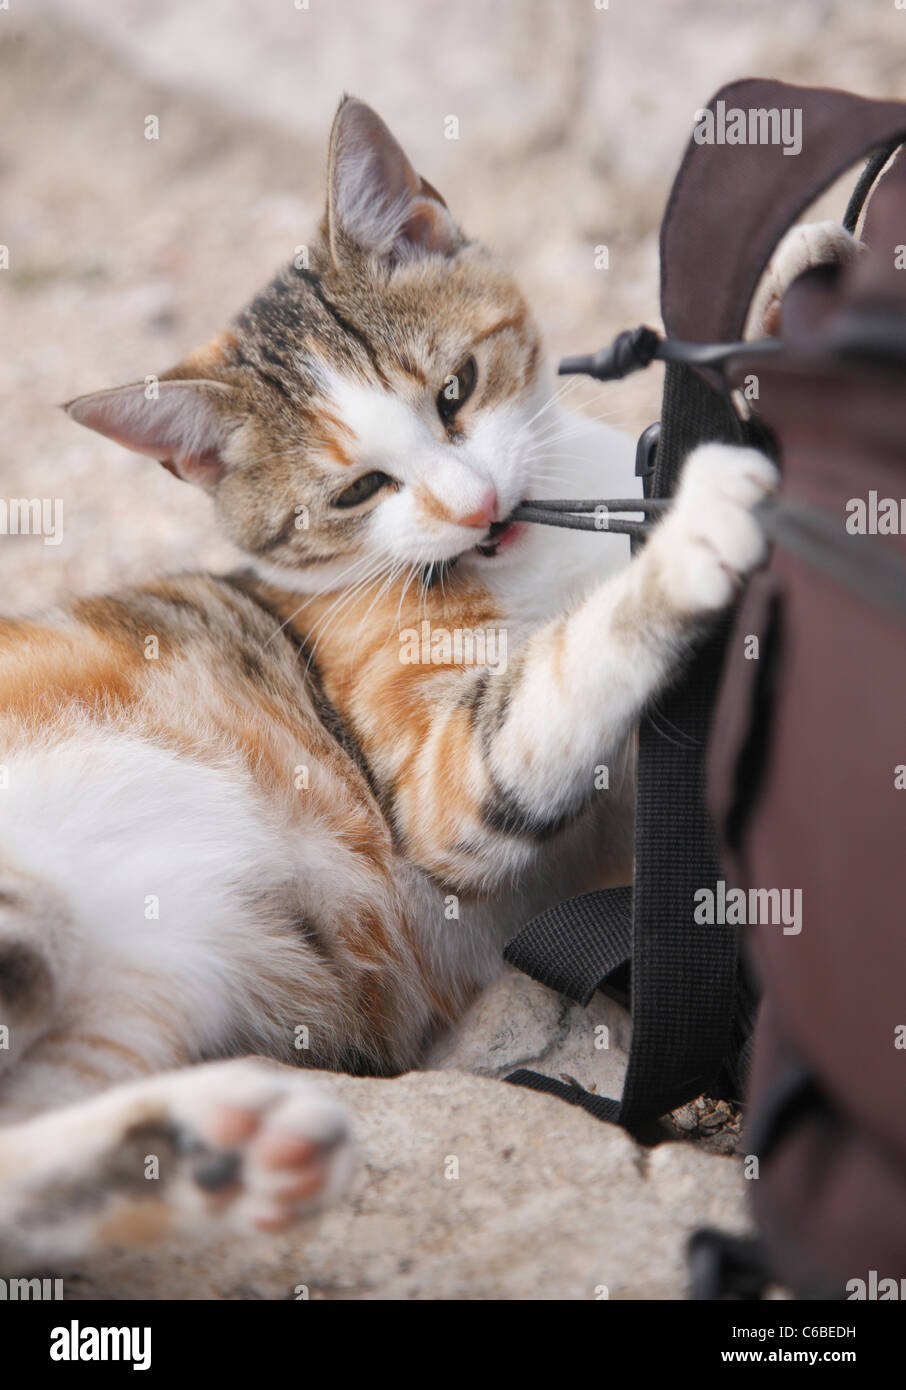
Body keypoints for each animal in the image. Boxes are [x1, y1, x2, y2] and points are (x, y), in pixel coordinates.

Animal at [0, 95, 783, 1273]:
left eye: (456, 389)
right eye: (358, 491)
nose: (473, 506)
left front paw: (804, 275)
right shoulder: (437, 785)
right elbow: (555, 681)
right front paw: (690, 534)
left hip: (130, 1002)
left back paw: (221, 1150)